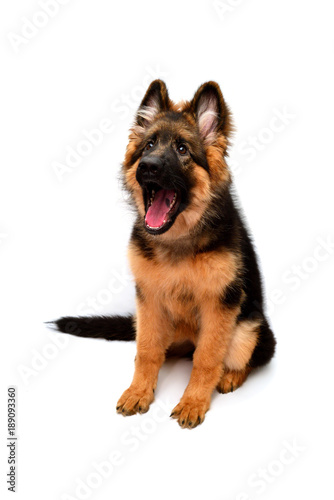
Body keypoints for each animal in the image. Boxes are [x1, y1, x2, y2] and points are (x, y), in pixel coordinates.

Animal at [52, 80, 276, 428]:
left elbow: (207, 357)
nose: (148, 167)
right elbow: (147, 351)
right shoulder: (149, 299)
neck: (178, 239)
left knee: (242, 358)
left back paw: (229, 376)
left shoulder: (219, 305)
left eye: (182, 150)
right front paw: (139, 390)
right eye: (148, 146)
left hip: (247, 328)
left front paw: (193, 400)